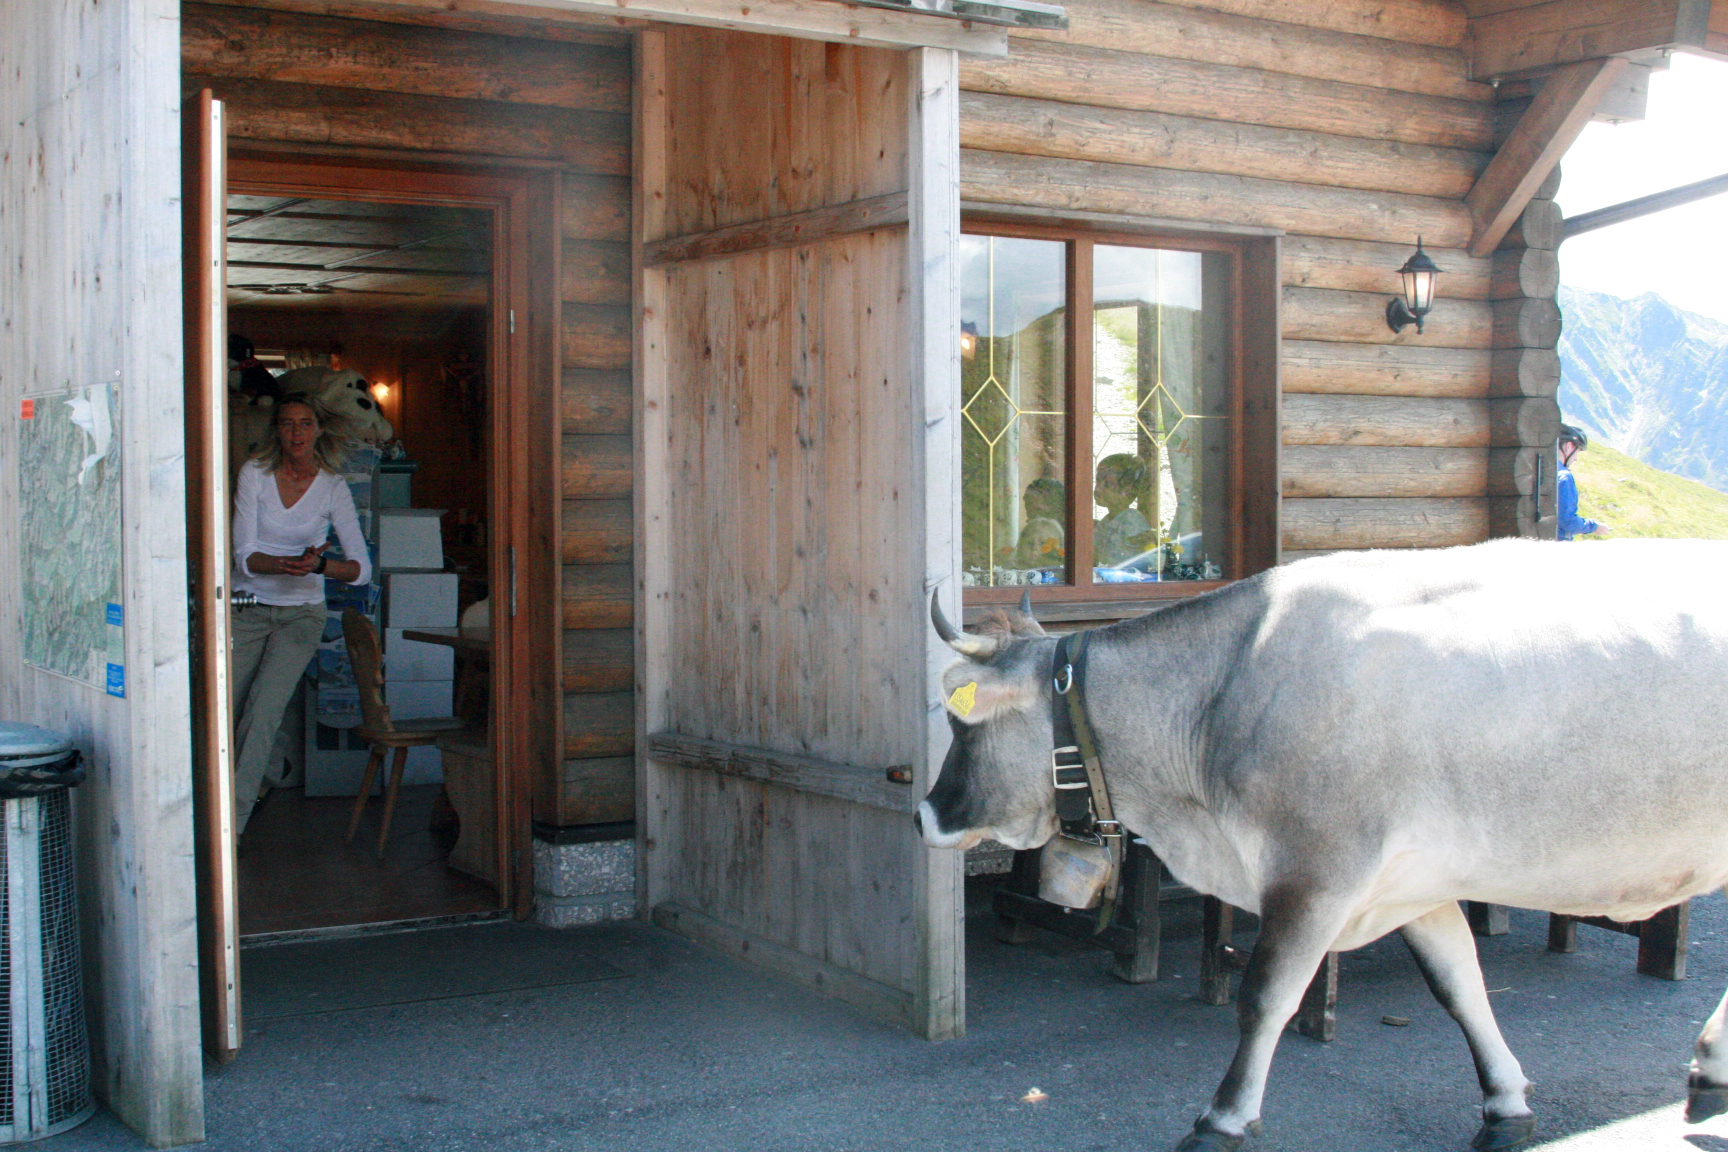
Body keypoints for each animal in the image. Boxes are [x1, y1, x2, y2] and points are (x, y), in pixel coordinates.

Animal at [917, 538, 1728, 1152]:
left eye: (963, 724)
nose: (926, 814)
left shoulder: (1318, 875)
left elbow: (1265, 996)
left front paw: (1222, 1120)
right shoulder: (1413, 882)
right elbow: (1458, 985)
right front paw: (1505, 1102)